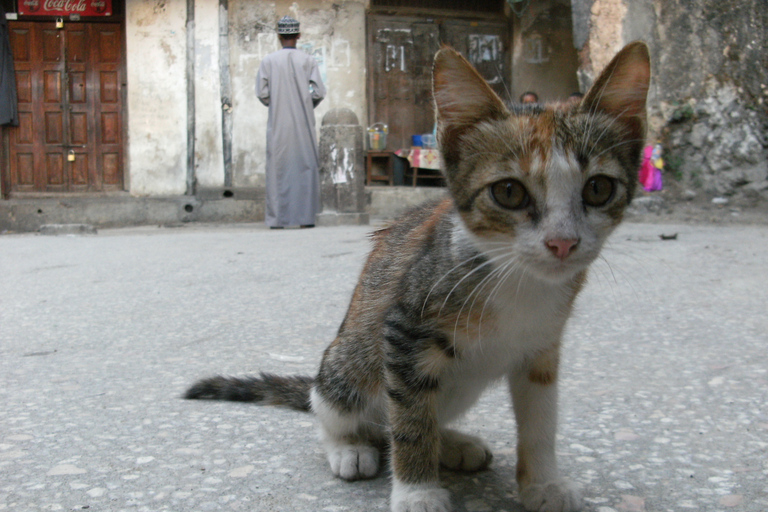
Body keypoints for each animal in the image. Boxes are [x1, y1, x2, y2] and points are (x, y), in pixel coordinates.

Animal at [184, 43, 648, 512]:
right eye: (509, 192)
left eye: (598, 189)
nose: (562, 243)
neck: (518, 280)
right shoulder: (404, 330)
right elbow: (410, 419)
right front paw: (417, 492)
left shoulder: (542, 348)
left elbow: (540, 418)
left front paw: (543, 483)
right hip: (348, 366)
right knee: (346, 414)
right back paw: (350, 446)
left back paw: (452, 443)